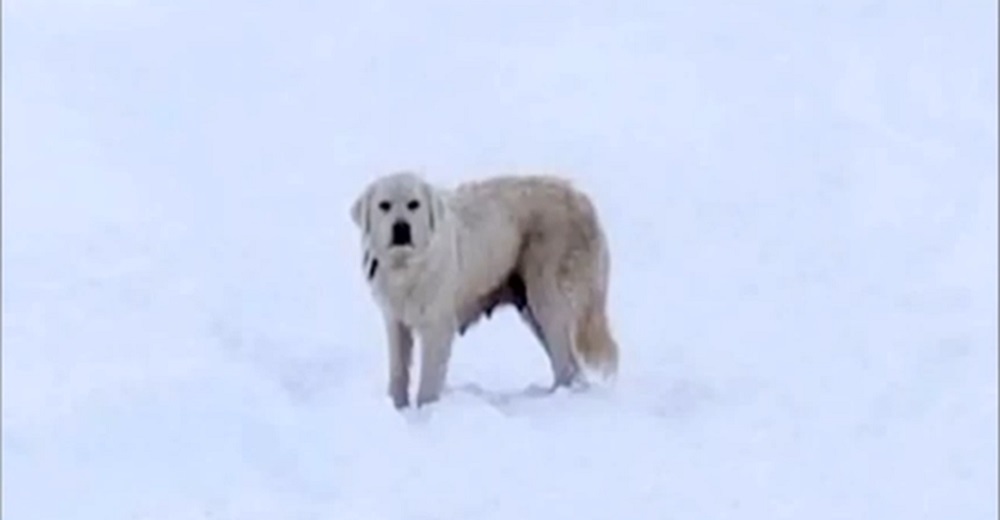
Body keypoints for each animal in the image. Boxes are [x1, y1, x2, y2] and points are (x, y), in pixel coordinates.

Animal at [352, 173, 616, 408]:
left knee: (567, 362)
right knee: (570, 364)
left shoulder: (437, 325)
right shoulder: (395, 322)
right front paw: (398, 408)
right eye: (384, 205)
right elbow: (398, 371)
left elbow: (429, 380)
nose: (401, 227)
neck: (407, 269)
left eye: (413, 204)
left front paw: (426, 412)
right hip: (532, 311)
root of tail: (582, 201)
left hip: (547, 298)